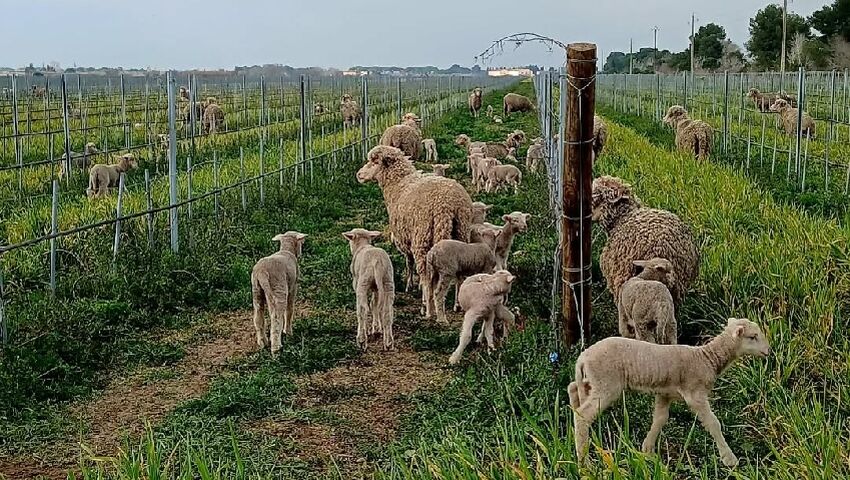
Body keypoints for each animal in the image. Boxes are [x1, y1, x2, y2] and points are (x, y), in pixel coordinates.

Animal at [357, 145, 473, 311]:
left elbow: (409, 262)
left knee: (425, 272)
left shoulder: (404, 237)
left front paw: (410, 285)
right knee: (459, 272)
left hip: (422, 238)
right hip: (461, 230)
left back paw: (426, 304)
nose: (359, 175)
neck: (398, 183)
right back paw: (457, 304)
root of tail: (447, 205)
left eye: (374, 162)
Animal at [568, 318, 770, 468]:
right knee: (583, 415)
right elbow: (714, 423)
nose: (768, 351)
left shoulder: (665, 393)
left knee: (573, 389)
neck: (707, 358)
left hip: (591, 382)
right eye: (753, 337)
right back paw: (584, 462)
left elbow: (660, 419)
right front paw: (729, 459)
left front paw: (647, 451)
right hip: (606, 384)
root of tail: (583, 357)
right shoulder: (695, 394)